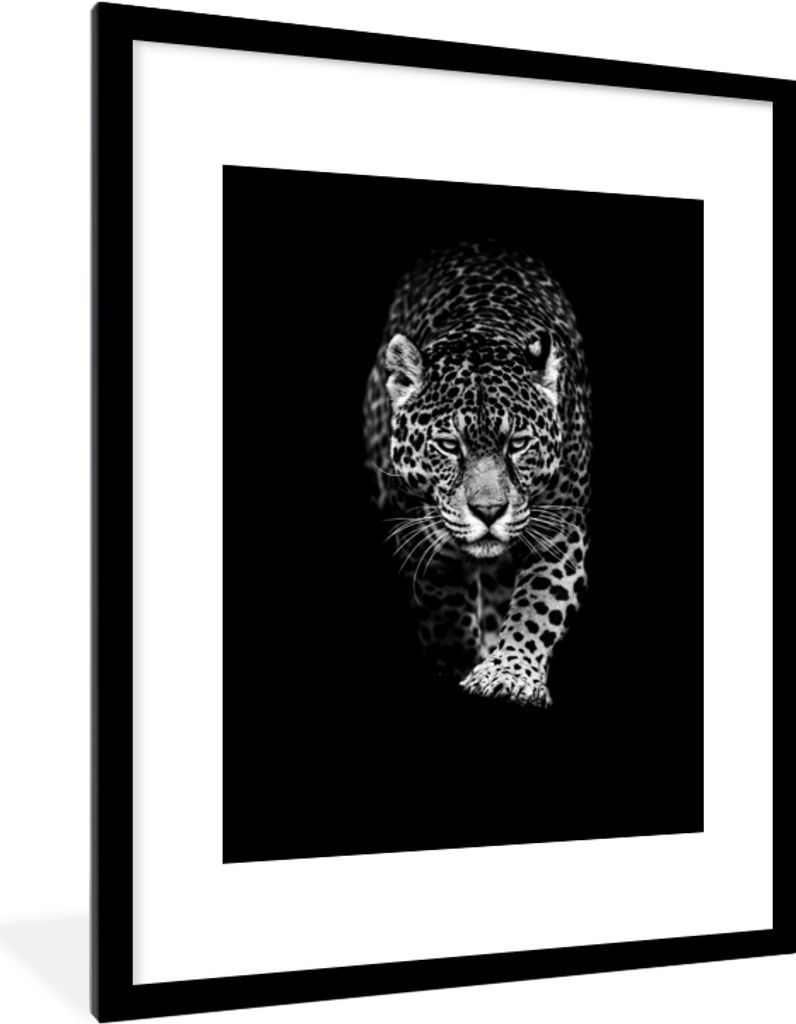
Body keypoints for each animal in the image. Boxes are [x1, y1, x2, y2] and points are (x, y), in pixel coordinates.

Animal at [362, 239, 592, 707]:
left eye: (517, 444)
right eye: (450, 446)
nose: (489, 511)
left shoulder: (560, 532)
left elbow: (539, 605)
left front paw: (509, 674)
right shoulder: (420, 534)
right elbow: (443, 604)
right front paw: (457, 660)